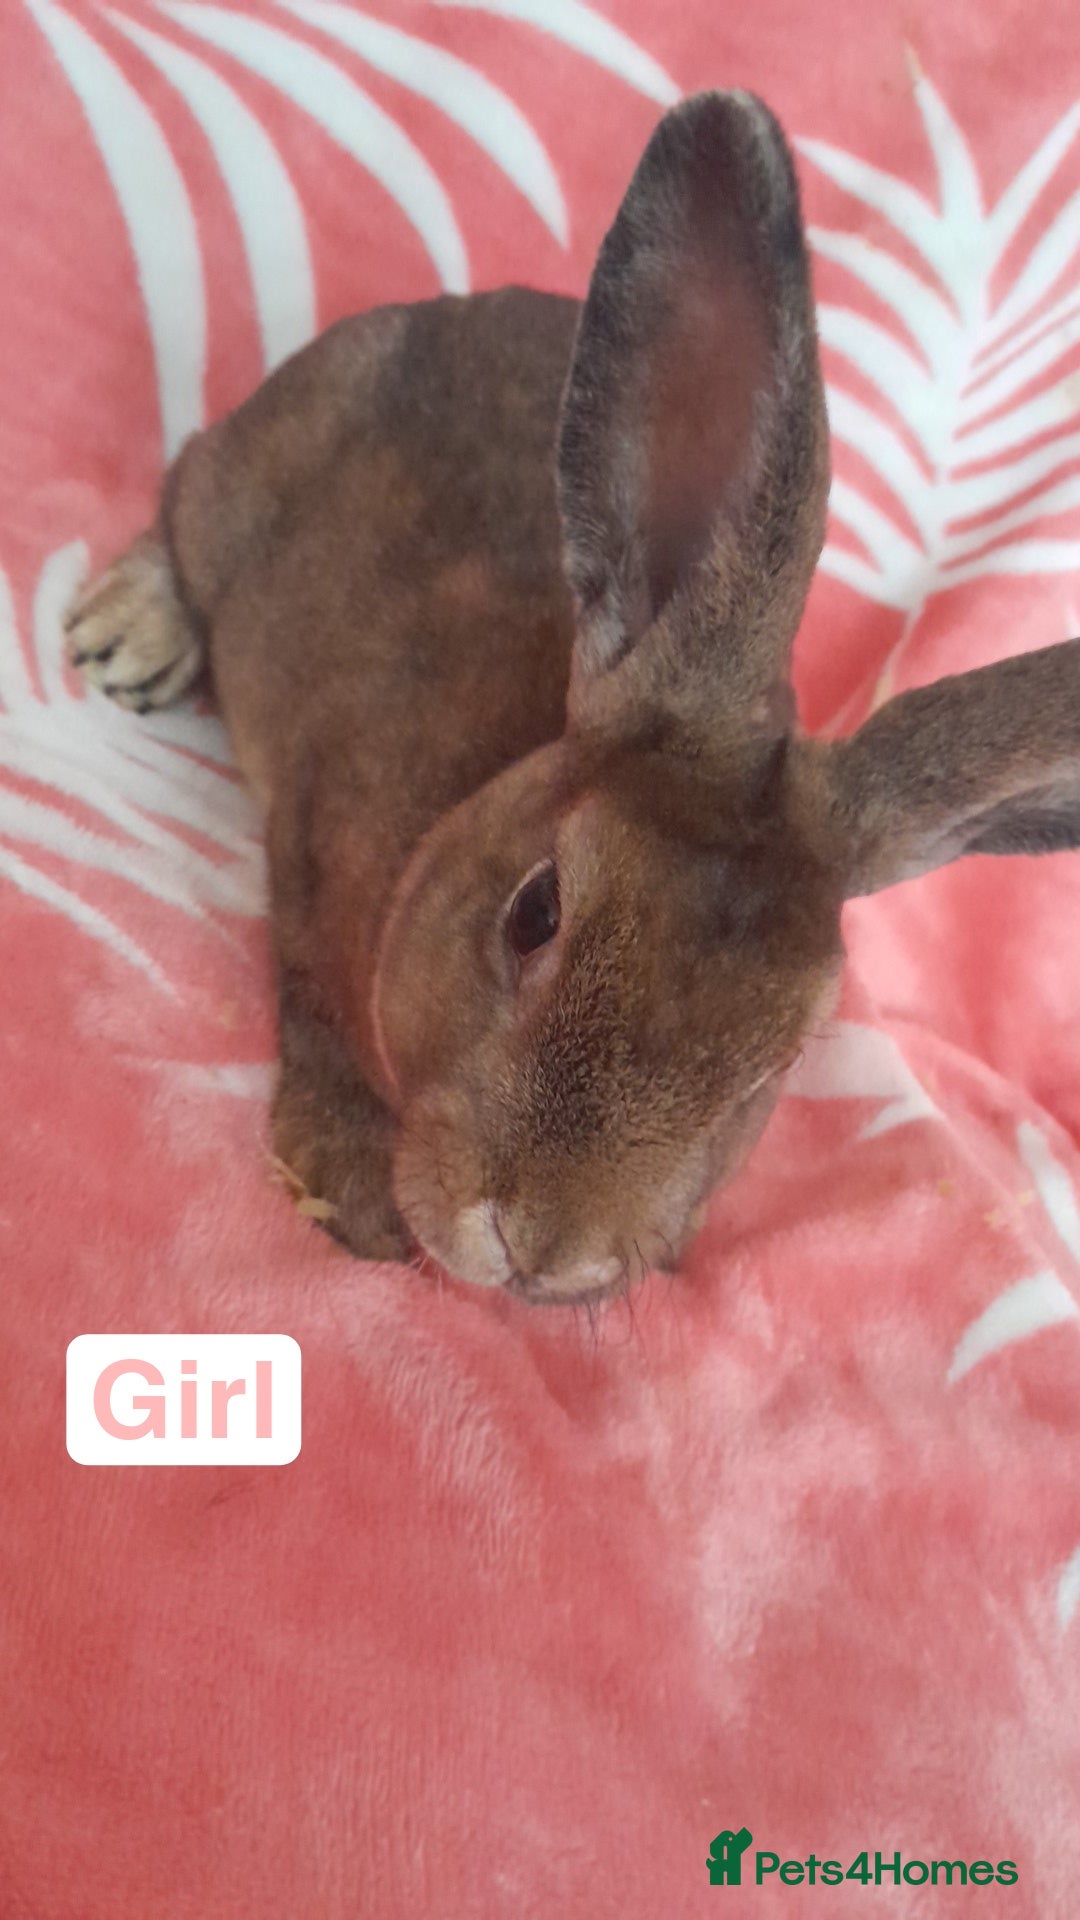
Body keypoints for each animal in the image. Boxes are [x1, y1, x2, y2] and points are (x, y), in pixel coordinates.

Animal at [65, 91, 1080, 1304]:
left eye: (770, 1071)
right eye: (533, 913)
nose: (539, 1252)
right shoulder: (311, 842)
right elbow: (310, 1001)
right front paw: (350, 1192)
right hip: (239, 480)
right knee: (180, 497)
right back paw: (127, 635)